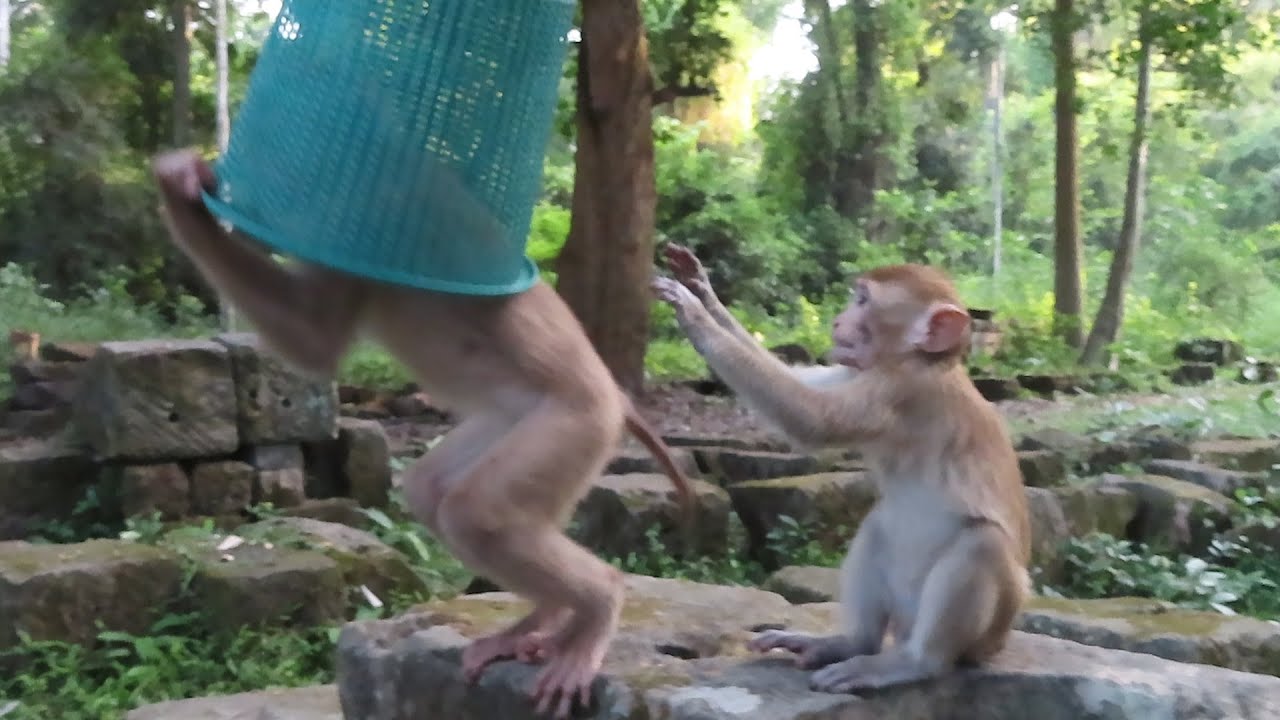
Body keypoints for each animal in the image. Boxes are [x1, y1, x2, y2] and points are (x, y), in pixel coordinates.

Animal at [151, 149, 694, 719]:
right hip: (509, 420)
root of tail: (617, 397)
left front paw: (187, 201)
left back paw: (595, 609)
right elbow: (312, 337)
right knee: (435, 491)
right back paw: (542, 616)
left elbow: (319, 343)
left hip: (575, 423)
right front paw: (181, 184)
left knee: (478, 513)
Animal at [652, 243, 1030, 694]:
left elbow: (811, 417)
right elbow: (805, 384)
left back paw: (912, 662)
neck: (921, 360)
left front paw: (692, 313)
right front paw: (703, 290)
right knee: (879, 526)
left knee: (984, 543)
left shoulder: (902, 390)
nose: (836, 319)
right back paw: (850, 643)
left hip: (988, 631)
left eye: (863, 301)